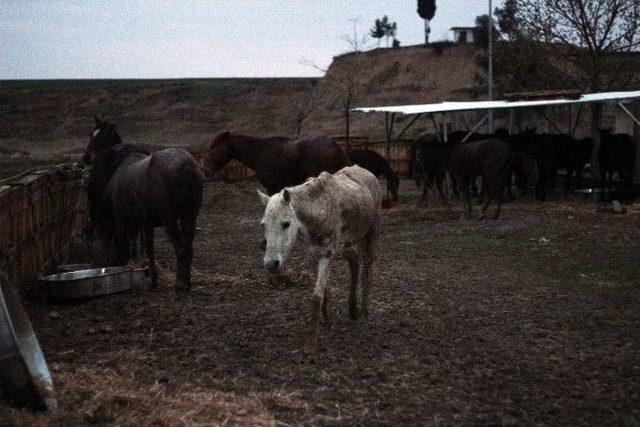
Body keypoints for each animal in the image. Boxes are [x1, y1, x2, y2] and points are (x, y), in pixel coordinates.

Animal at [85, 122, 204, 292]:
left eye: (99, 137)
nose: (86, 157)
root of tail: (187, 166)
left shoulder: (122, 220)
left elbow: (123, 247)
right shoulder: (146, 223)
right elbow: (149, 250)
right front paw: (153, 281)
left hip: (169, 220)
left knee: (181, 249)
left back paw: (180, 284)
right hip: (190, 216)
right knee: (188, 248)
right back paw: (185, 282)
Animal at [258, 166, 382, 350]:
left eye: (286, 223)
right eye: (263, 225)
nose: (271, 264)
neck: (320, 210)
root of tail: (368, 173)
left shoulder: (327, 256)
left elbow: (317, 296)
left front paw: (311, 343)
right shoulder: (314, 255)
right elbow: (324, 292)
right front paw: (327, 322)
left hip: (369, 237)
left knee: (368, 269)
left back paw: (365, 315)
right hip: (348, 244)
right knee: (354, 262)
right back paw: (353, 311)